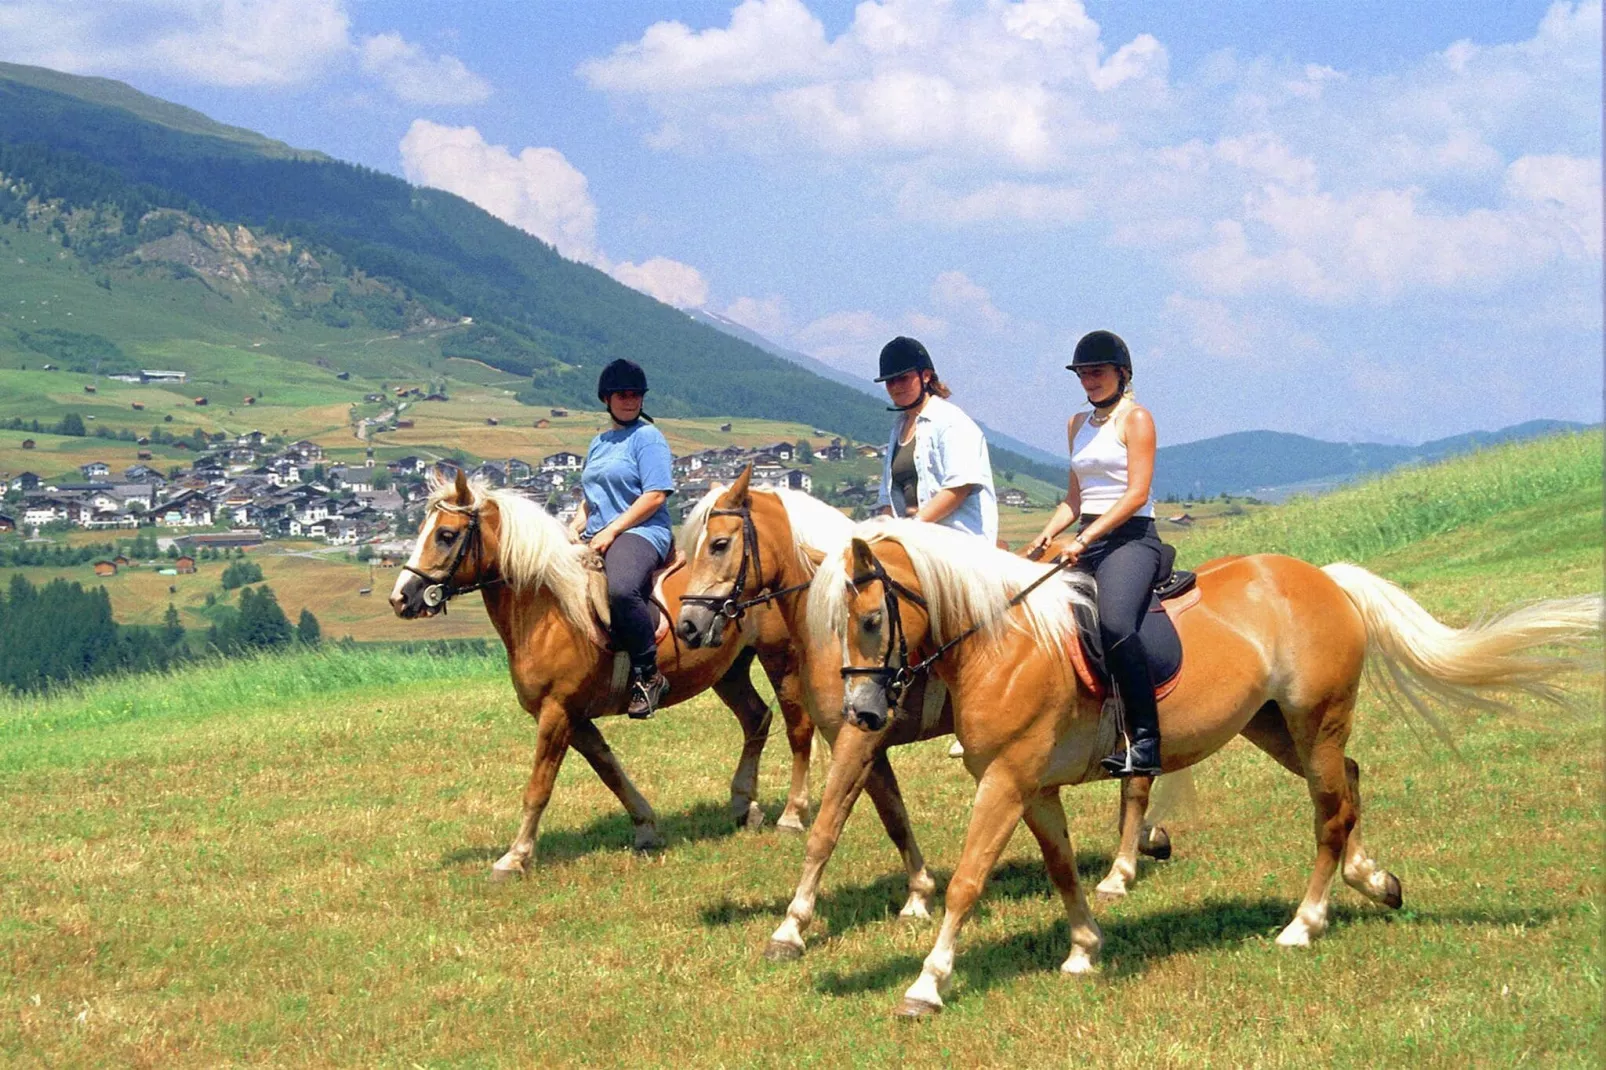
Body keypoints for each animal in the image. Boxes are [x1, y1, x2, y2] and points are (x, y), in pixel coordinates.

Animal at [388, 469, 815, 873]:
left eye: (445, 535)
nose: (401, 598)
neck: (548, 609)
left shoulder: (557, 712)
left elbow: (539, 786)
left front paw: (515, 857)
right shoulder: (573, 717)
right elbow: (608, 770)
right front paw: (646, 827)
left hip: (781, 658)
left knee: (798, 728)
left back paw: (792, 815)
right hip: (727, 671)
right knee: (756, 719)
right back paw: (745, 806)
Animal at [671, 472, 1175, 951]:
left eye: (719, 544)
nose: (689, 626)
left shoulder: (857, 740)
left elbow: (826, 830)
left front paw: (792, 928)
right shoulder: (865, 739)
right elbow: (894, 817)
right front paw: (918, 895)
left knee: (1138, 782)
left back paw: (1120, 872)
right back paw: (1147, 844)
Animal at [822, 520, 1599, 1015]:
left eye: (870, 621)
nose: (861, 715)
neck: (1004, 641)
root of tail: (1325, 581)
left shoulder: (1006, 782)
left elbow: (967, 883)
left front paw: (926, 986)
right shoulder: (1034, 787)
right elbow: (1064, 868)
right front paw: (1085, 949)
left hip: (1314, 721)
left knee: (1329, 812)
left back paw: (1304, 924)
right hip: (1275, 727)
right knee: (1349, 784)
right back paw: (1374, 881)